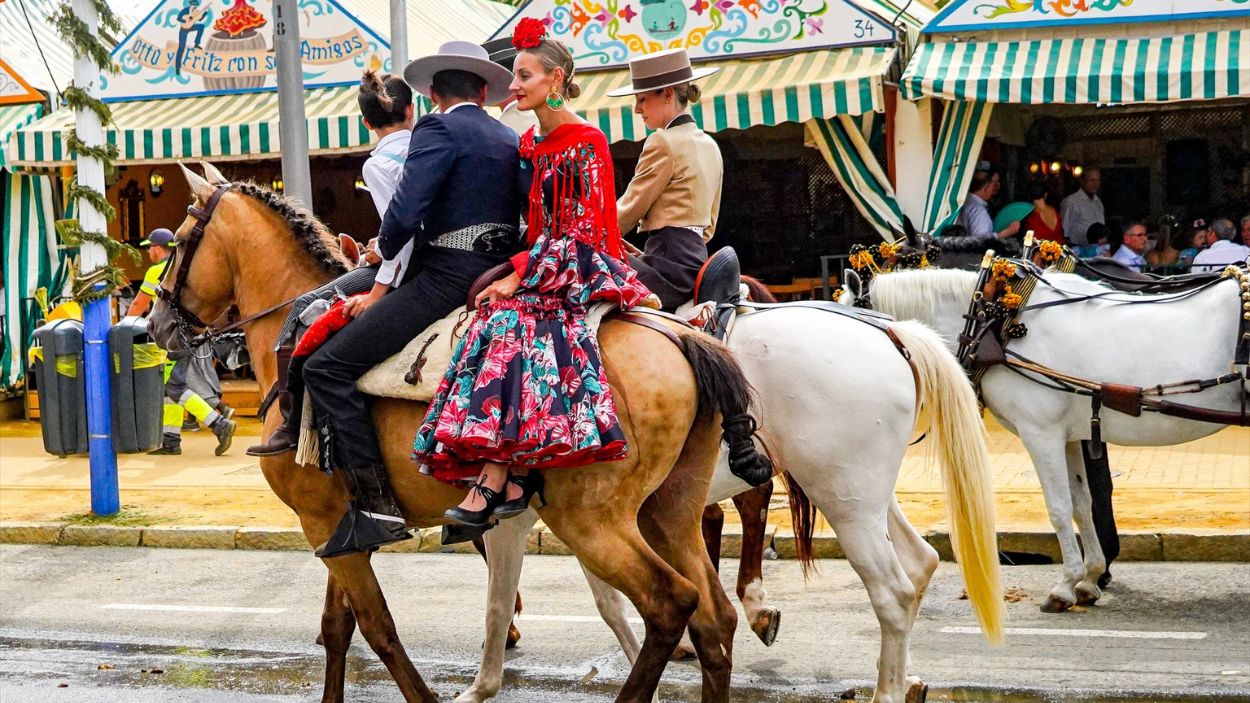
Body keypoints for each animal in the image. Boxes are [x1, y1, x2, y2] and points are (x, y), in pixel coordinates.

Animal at [146, 162, 770, 700]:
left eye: (177, 244)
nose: (154, 322)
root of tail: (682, 335)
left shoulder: (320, 521)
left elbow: (377, 627)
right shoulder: (338, 525)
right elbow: (338, 626)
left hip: (593, 520)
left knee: (671, 604)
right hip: (669, 509)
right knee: (713, 618)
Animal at [465, 305, 1010, 700]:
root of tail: (890, 332)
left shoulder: (546, 515)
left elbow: (502, 595)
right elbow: (605, 598)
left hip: (843, 497)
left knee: (892, 590)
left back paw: (884, 689)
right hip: (863, 495)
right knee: (920, 563)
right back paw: (905, 678)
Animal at [865, 265, 1245, 610]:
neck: (997, 322)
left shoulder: (1040, 432)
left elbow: (1059, 508)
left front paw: (1065, 586)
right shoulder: (1069, 436)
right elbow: (1081, 504)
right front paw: (1090, 578)